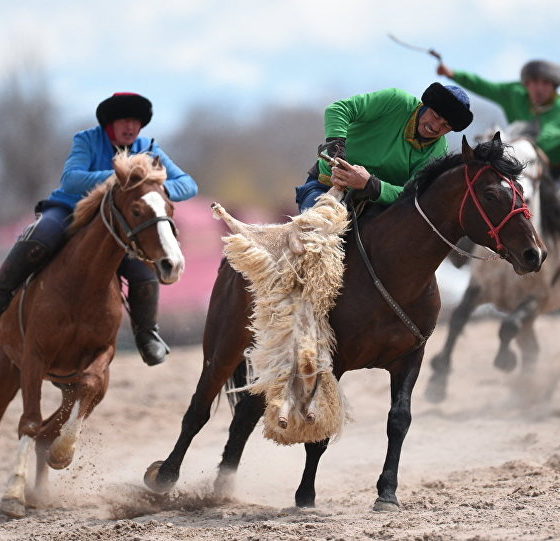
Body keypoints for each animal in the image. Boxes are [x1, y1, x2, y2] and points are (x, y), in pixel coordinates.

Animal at [0, 152, 184, 518]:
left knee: (54, 422)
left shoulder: (101, 356)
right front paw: (13, 493)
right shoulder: (33, 357)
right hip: (6, 369)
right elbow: (29, 422)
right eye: (137, 210)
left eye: (170, 208)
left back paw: (41, 488)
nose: (173, 264)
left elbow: (87, 386)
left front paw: (62, 454)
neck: (82, 282)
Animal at [144, 134, 545, 511]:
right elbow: (319, 430)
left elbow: (399, 420)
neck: (391, 267)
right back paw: (164, 477)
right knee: (199, 407)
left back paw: (222, 489)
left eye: (521, 191)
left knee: (244, 414)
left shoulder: (410, 358)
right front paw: (305, 496)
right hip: (224, 344)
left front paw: (387, 493)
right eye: (491, 193)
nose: (535, 253)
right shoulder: (329, 362)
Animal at [425, 127, 560, 403]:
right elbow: (458, 319)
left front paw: (505, 360)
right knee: (531, 347)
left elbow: (509, 326)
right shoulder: (479, 288)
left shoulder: (539, 298)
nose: (535, 255)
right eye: (490, 194)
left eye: (535, 165)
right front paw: (438, 381)